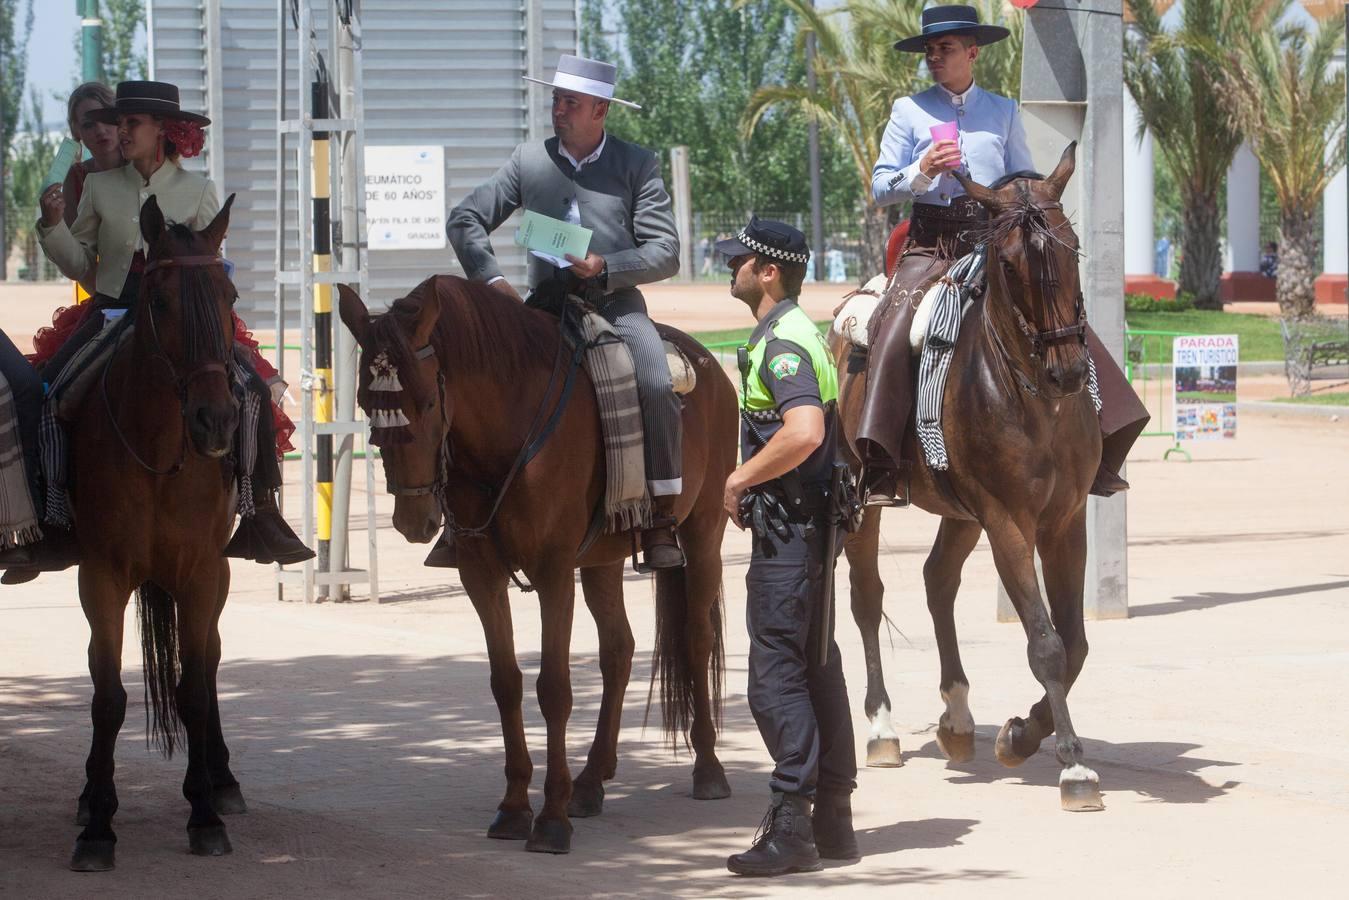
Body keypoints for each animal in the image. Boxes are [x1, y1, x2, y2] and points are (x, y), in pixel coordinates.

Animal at [68, 191, 249, 874]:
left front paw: (204, 817)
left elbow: (193, 688)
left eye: (230, 297)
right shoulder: (101, 575)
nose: (216, 420)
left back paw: (221, 783)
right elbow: (107, 696)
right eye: (162, 301)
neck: (157, 453)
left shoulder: (200, 572)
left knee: (212, 662)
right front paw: (98, 826)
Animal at [337, 277, 739, 858]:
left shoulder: (552, 572)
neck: (509, 432)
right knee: (618, 651)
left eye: (428, 399)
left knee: (695, 639)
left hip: (704, 532)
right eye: (367, 403)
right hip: (602, 562)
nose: (414, 520)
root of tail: (709, 364)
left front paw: (550, 818)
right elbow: (506, 682)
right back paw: (591, 782)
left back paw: (707, 769)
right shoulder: (480, 575)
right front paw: (513, 807)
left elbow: (554, 689)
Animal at [836, 144, 1111, 814]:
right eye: (1008, 264)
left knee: (938, 581)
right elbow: (1046, 643)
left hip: (961, 511)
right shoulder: (1009, 520)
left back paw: (958, 719)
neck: (1036, 400)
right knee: (867, 597)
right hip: (865, 498)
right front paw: (1072, 765)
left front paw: (1021, 734)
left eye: (1071, 249)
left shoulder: (1063, 522)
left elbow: (1075, 642)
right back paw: (882, 729)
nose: (1069, 370)